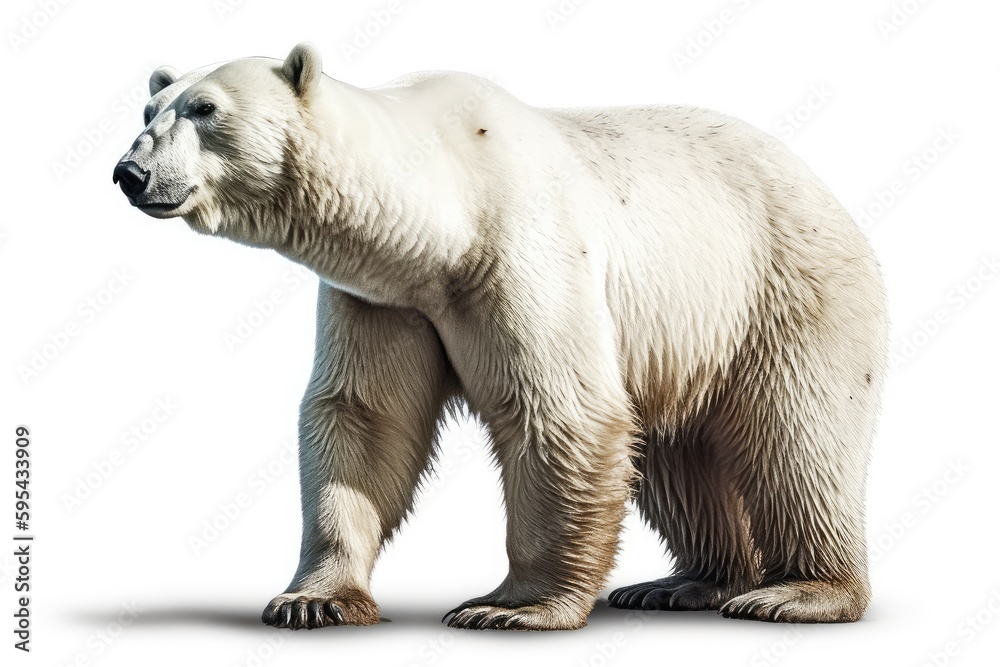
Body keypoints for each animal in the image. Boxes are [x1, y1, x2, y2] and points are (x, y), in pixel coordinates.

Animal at [113, 43, 887, 631]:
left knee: (798, 438)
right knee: (677, 455)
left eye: (206, 109)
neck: (438, 213)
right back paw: (686, 582)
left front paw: (511, 607)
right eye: (149, 109)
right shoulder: (384, 296)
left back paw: (797, 592)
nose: (130, 172)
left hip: (781, 291)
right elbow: (366, 418)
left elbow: (560, 413)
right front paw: (313, 599)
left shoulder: (519, 252)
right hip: (685, 334)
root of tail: (822, 187)